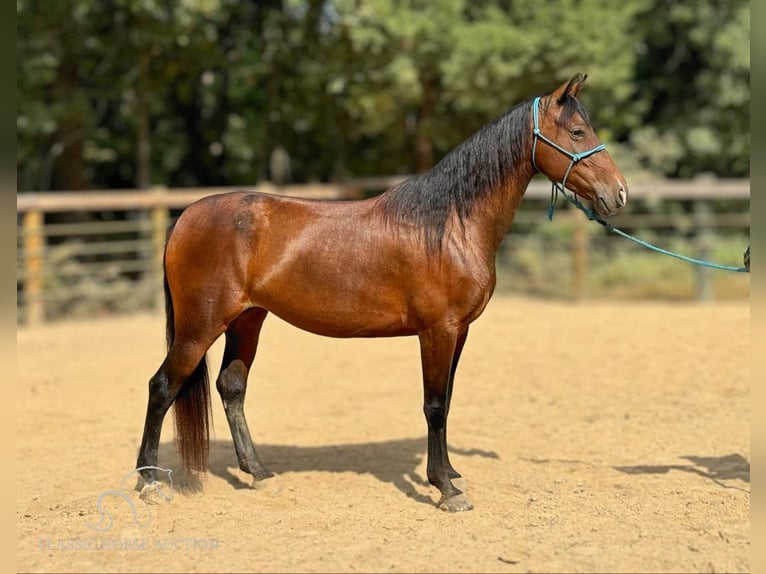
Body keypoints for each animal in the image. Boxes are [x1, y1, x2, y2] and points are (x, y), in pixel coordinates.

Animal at [138, 73, 632, 512]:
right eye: (577, 131)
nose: (620, 194)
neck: (449, 224)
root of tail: (185, 218)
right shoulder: (437, 331)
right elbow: (434, 405)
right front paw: (445, 490)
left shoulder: (460, 332)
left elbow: (448, 399)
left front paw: (450, 473)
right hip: (200, 326)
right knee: (162, 387)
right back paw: (148, 483)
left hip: (247, 320)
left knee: (231, 387)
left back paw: (259, 474)